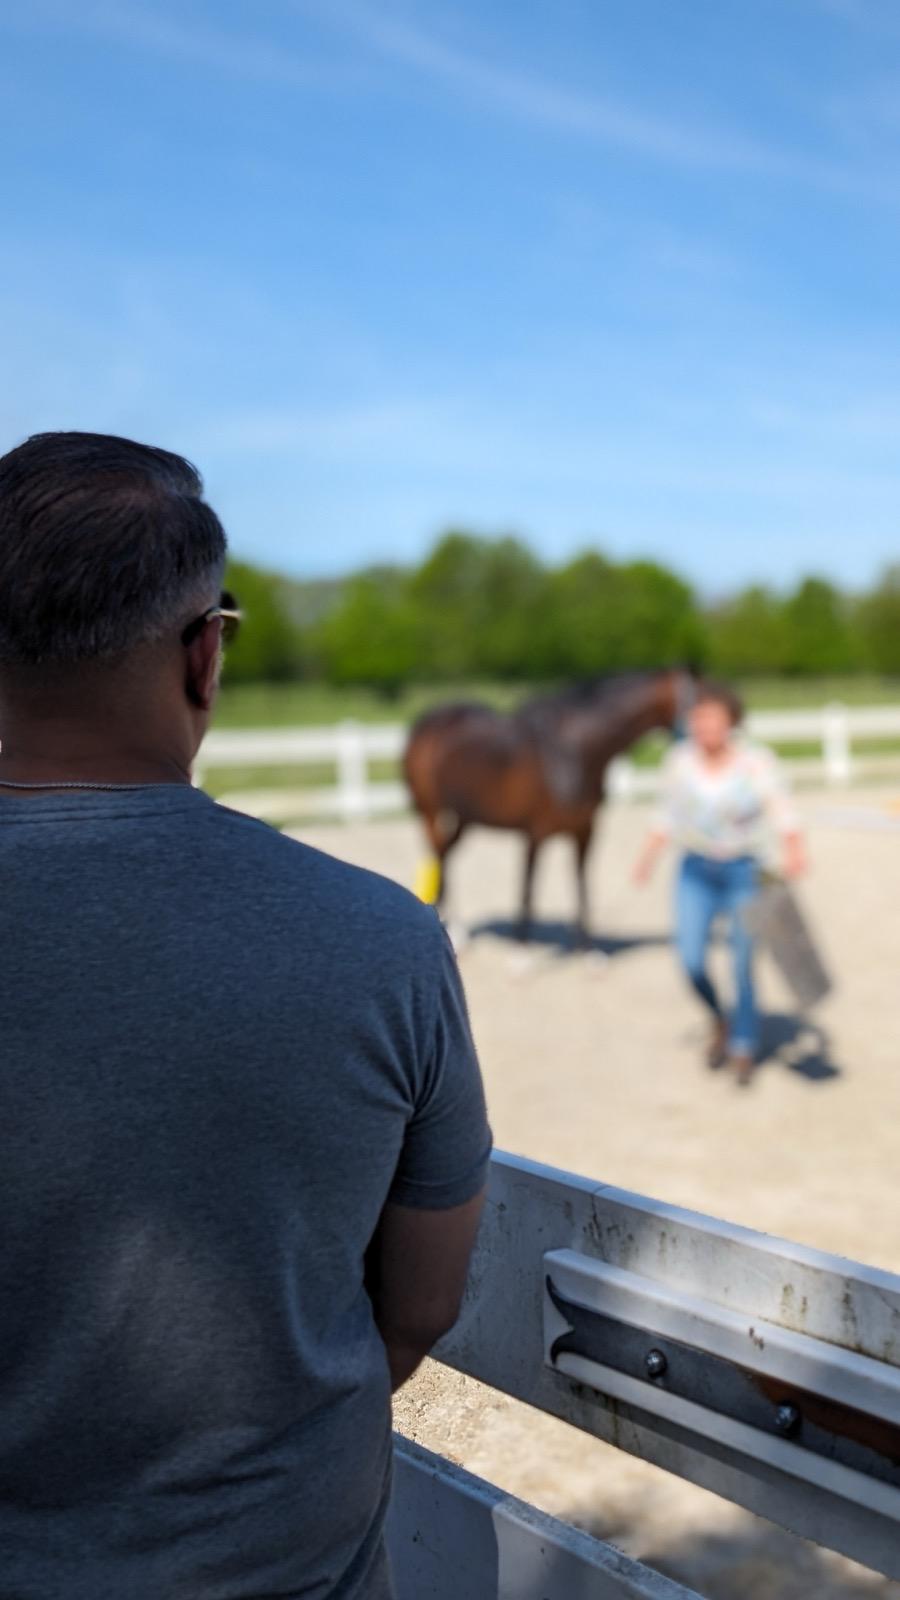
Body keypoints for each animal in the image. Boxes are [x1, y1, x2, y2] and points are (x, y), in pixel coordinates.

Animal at [403, 672, 688, 940]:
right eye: (698, 698)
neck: (571, 750)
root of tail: (426, 722)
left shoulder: (584, 831)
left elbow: (582, 888)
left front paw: (587, 951)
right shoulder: (535, 834)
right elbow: (528, 892)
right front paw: (522, 949)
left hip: (465, 818)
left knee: (445, 856)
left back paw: (456, 928)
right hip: (430, 813)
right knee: (438, 854)